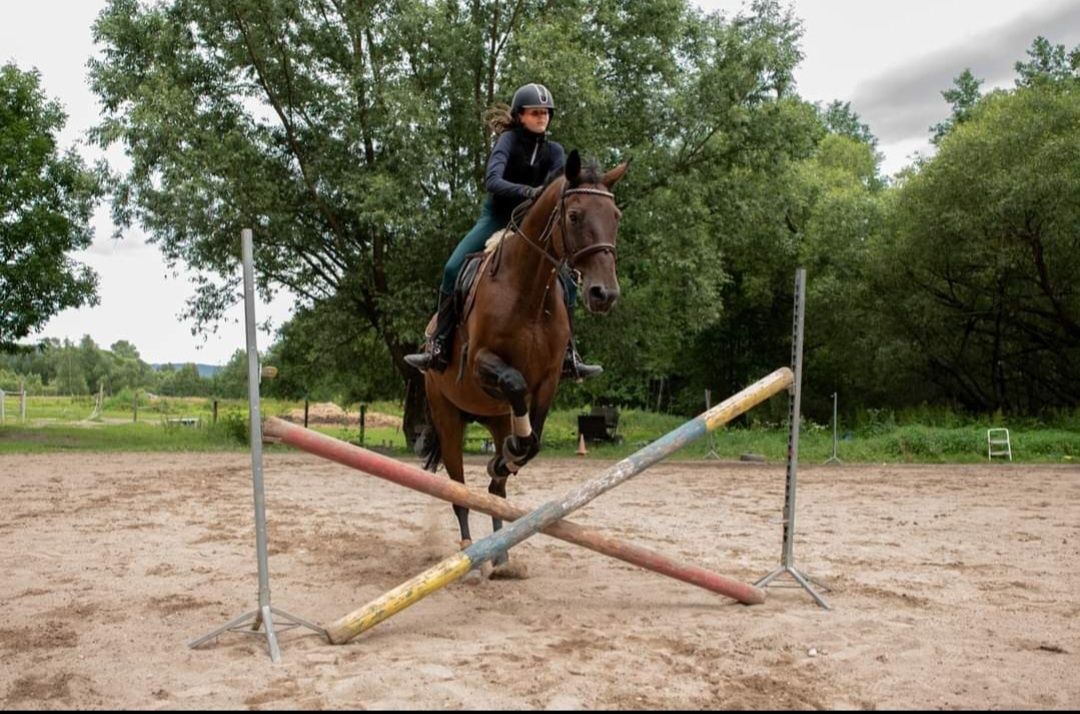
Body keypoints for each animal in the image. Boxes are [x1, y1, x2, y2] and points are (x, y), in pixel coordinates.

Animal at [416, 152, 630, 574]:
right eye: (574, 215)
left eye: (615, 215)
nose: (604, 294)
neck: (529, 289)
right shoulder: (482, 364)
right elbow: (513, 383)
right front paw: (509, 456)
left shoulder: (547, 380)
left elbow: (533, 439)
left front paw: (508, 459)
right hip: (448, 416)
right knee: (459, 488)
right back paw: (469, 549)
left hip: (495, 419)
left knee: (494, 492)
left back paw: (500, 555)